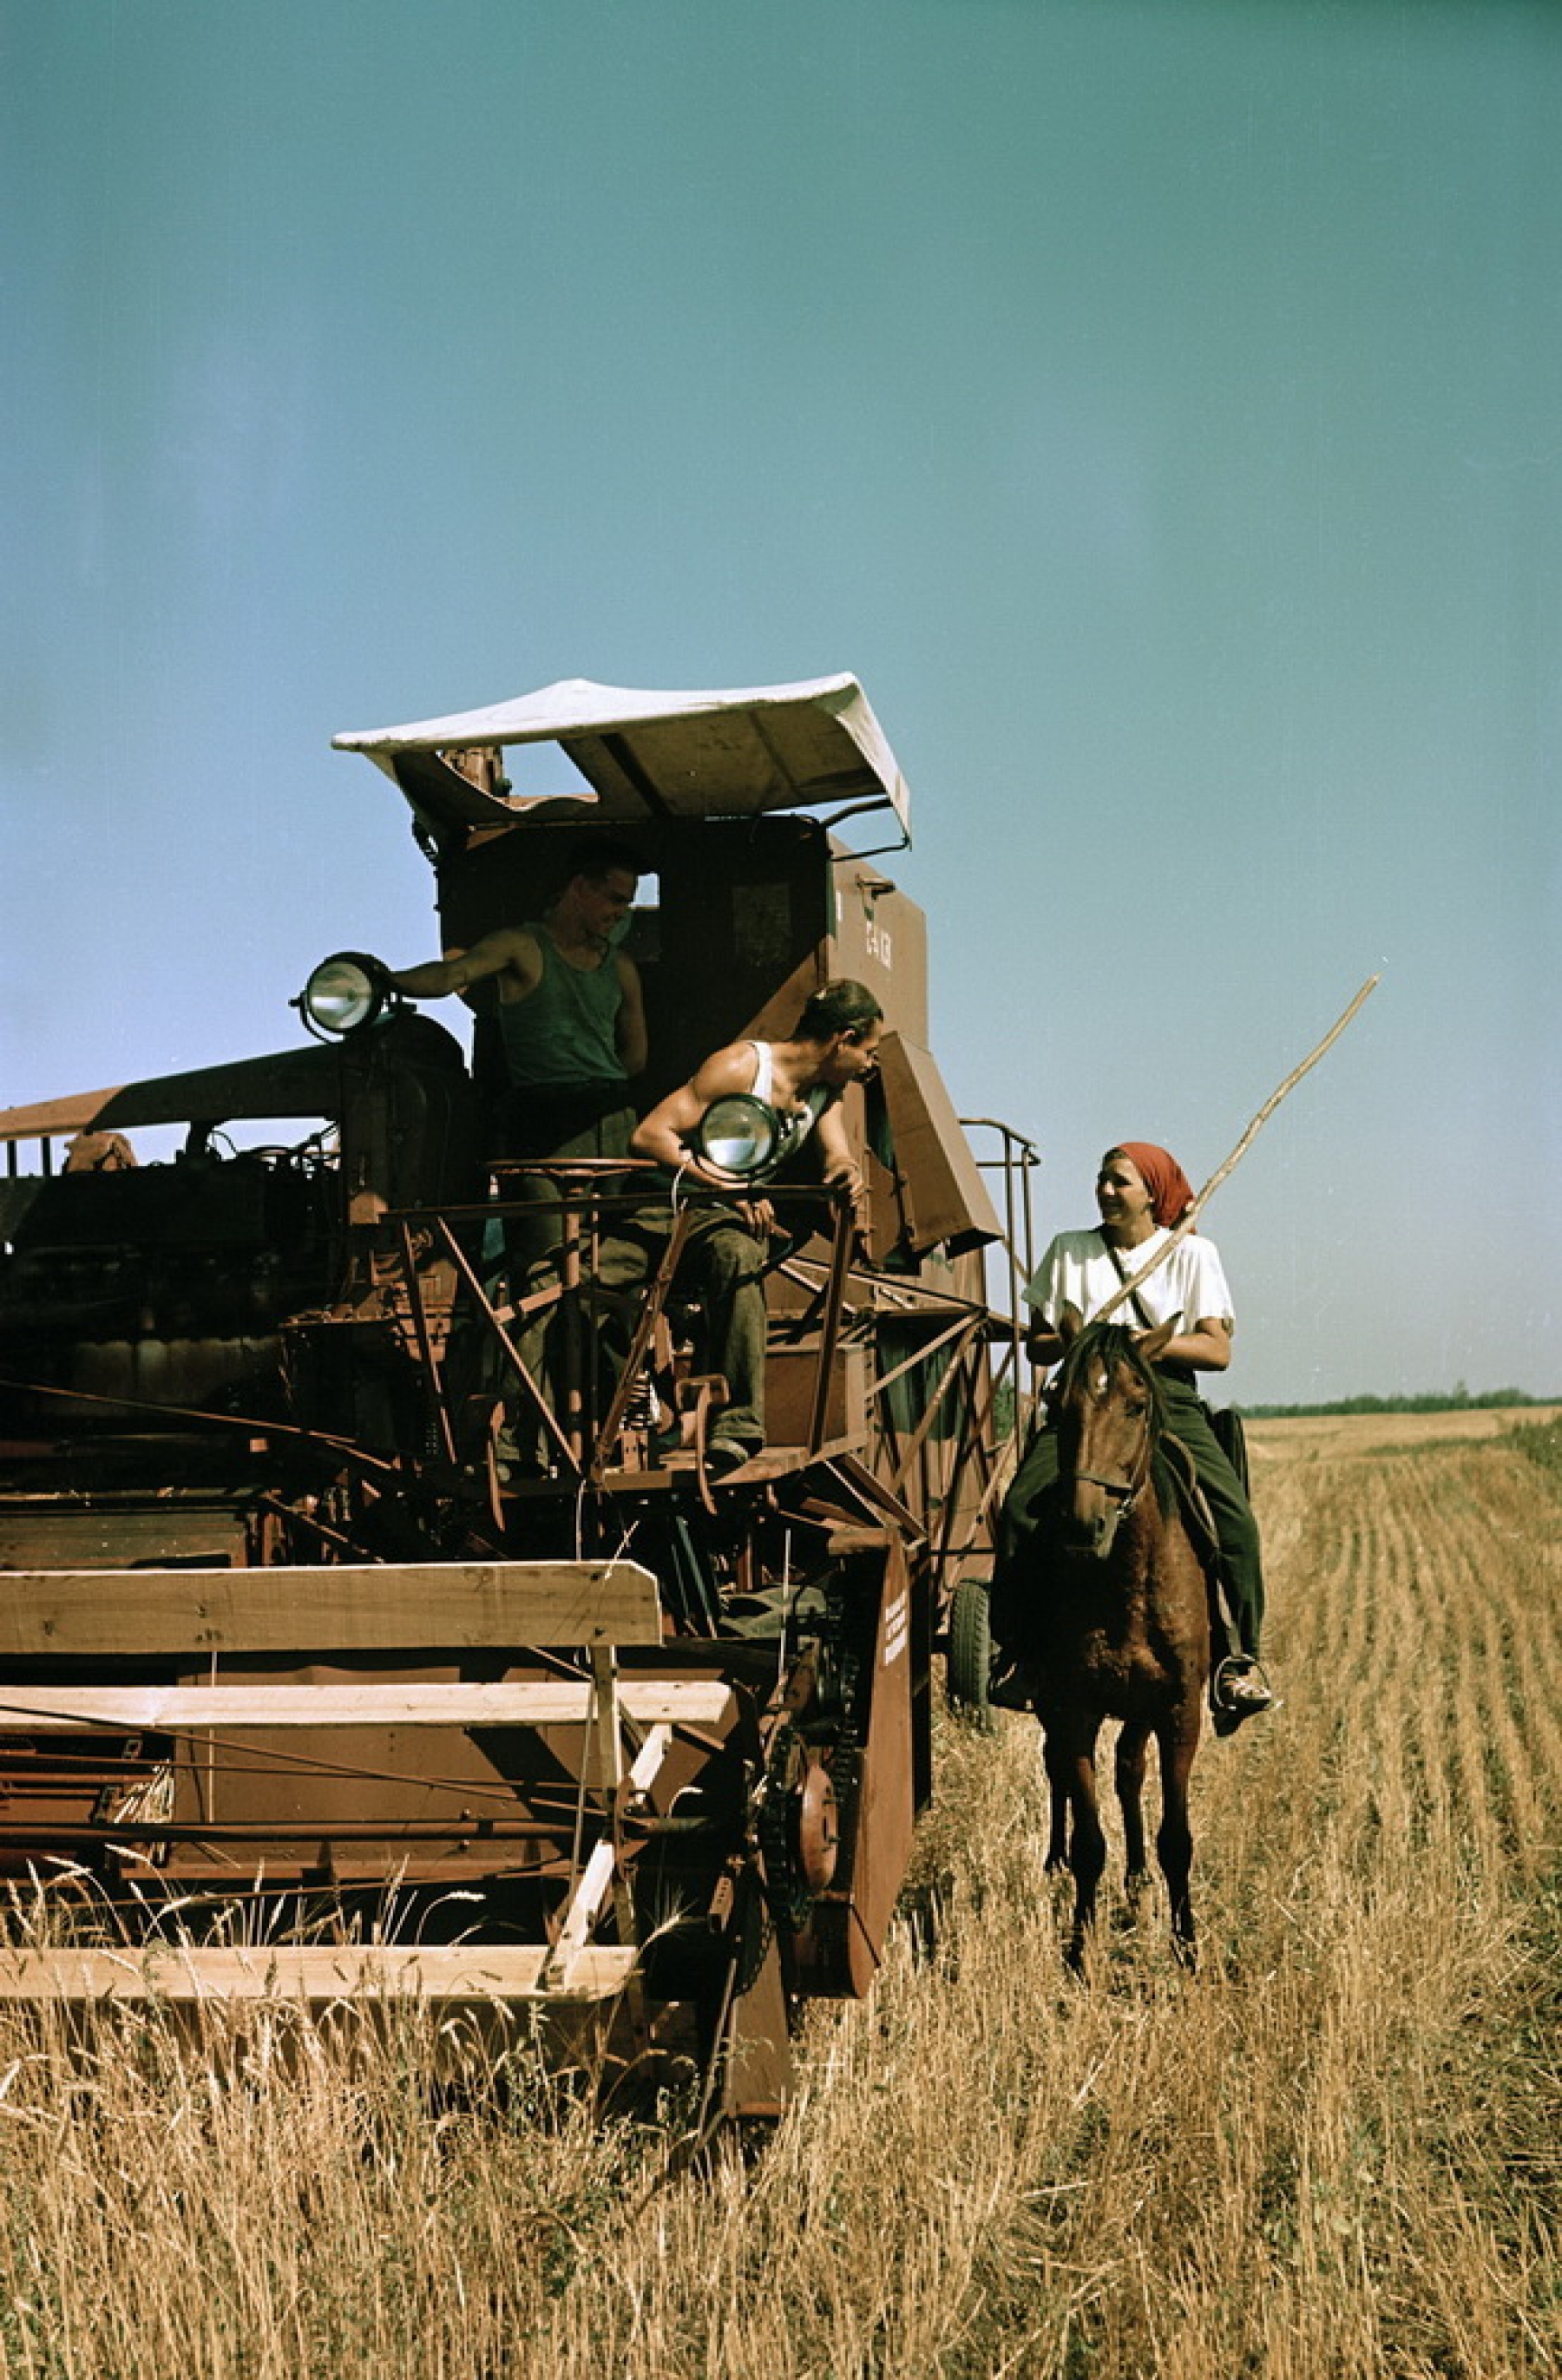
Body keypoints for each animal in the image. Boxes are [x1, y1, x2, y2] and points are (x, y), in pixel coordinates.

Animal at [1033, 1323, 1214, 1970]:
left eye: (1137, 1406)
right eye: (1058, 1406)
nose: (1082, 1525)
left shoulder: (1180, 1711)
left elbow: (1176, 1838)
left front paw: (1186, 1946)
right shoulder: (1074, 1709)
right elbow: (1089, 1839)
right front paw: (1077, 1949)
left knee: (1130, 1770)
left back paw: (1137, 1881)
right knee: (1058, 1768)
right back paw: (1054, 1862)